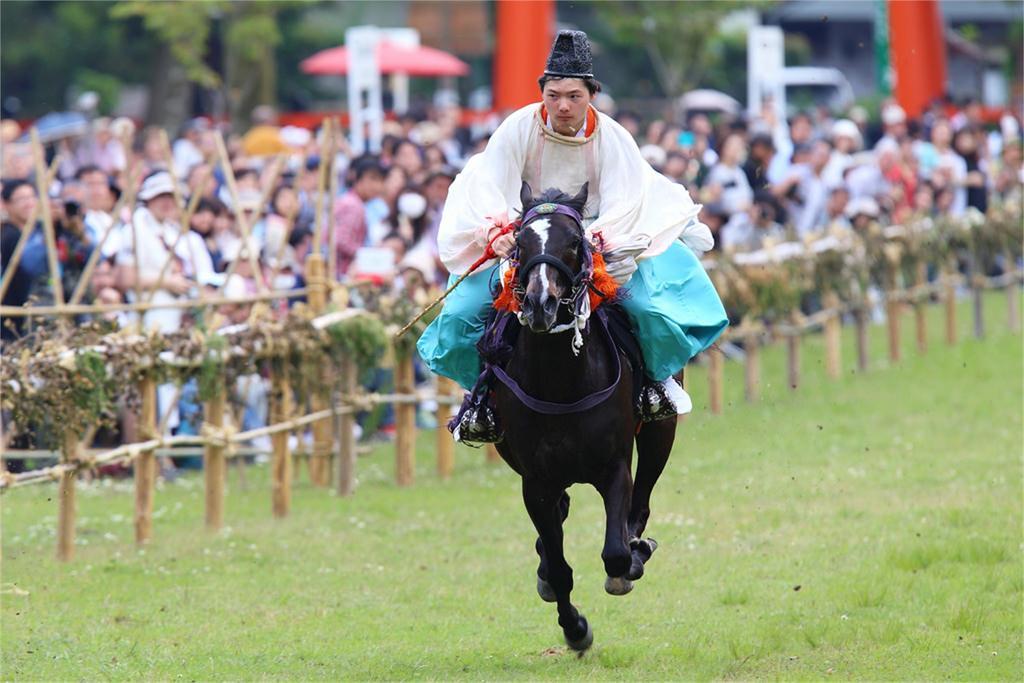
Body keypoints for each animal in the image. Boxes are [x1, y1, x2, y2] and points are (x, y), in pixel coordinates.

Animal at [491, 181, 675, 651]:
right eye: (520, 243)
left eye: (574, 242)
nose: (540, 303)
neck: (561, 382)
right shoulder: (535, 481)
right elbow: (558, 567)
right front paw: (575, 629)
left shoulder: (613, 466)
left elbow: (615, 551)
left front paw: (626, 566)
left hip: (659, 430)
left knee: (642, 499)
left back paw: (638, 548)